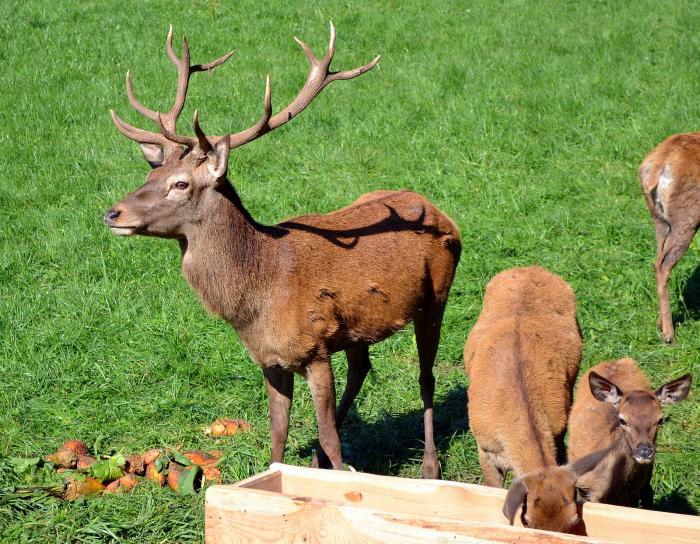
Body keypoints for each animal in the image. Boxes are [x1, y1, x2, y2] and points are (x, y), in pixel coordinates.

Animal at [104, 24, 462, 476]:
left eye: (180, 183)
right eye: (151, 174)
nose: (113, 213)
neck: (259, 297)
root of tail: (438, 210)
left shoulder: (315, 348)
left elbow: (330, 435)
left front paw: (335, 468)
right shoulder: (270, 359)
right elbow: (278, 431)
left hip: (436, 296)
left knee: (426, 377)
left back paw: (429, 465)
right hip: (357, 325)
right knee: (362, 367)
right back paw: (315, 460)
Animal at [636, 133, 700, 342]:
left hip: (660, 222)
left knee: (657, 262)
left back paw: (661, 324)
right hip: (686, 219)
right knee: (663, 265)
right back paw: (669, 335)